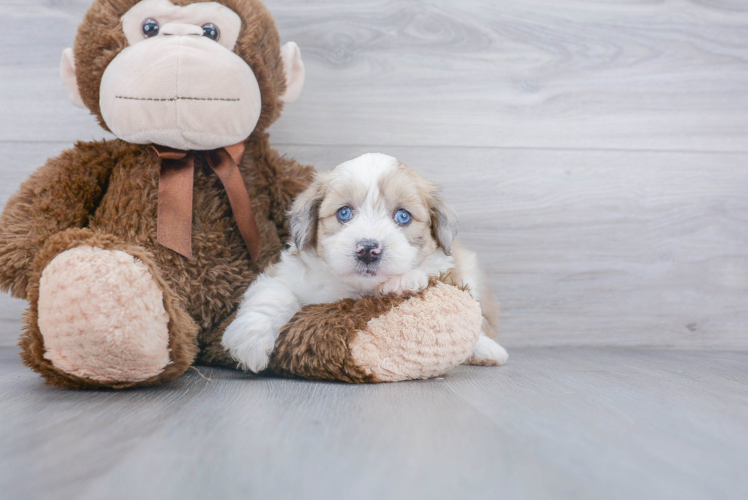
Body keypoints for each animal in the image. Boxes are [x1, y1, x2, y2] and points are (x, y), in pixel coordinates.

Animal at [222, 154, 508, 374]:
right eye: (344, 213)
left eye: (403, 216)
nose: (368, 250)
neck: (356, 289)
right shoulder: (284, 273)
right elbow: (274, 294)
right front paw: (251, 339)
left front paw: (404, 282)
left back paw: (486, 349)